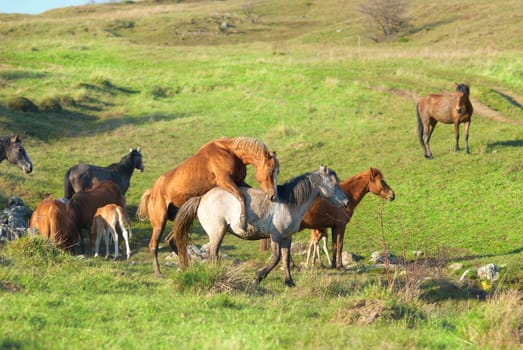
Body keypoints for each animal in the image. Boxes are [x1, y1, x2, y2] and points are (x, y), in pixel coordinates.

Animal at [137, 136, 280, 276]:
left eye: (277, 172)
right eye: (270, 170)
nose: (273, 195)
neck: (230, 152)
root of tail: (152, 192)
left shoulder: (239, 181)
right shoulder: (225, 181)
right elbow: (241, 197)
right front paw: (243, 222)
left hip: (180, 218)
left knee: (173, 239)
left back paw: (185, 266)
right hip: (159, 223)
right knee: (153, 245)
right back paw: (159, 273)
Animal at [260, 168, 396, 270]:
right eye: (381, 181)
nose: (392, 195)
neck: (346, 196)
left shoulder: (334, 227)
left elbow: (335, 246)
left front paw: (334, 264)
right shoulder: (341, 226)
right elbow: (339, 245)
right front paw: (340, 266)